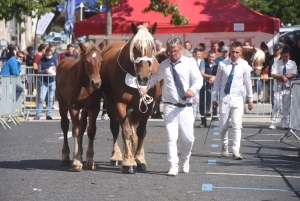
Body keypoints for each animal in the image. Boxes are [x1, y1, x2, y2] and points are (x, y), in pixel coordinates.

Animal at [56, 40, 105, 171]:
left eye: (101, 60)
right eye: (86, 61)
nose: (96, 83)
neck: (85, 85)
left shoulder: (94, 107)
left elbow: (91, 130)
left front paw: (90, 160)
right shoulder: (73, 107)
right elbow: (75, 131)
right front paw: (77, 161)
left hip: (85, 109)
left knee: (83, 126)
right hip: (62, 103)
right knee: (65, 125)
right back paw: (65, 156)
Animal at [101, 21, 159, 173]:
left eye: (152, 47)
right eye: (135, 47)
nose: (143, 78)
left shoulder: (147, 106)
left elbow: (141, 132)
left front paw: (139, 159)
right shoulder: (120, 104)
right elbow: (126, 131)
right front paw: (128, 162)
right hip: (110, 104)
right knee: (115, 128)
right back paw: (116, 156)